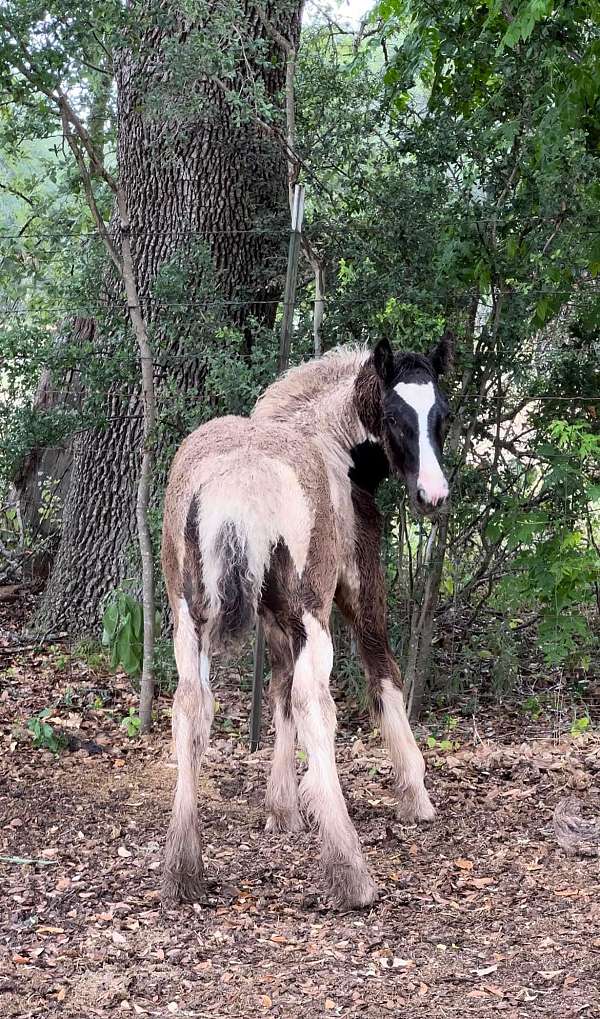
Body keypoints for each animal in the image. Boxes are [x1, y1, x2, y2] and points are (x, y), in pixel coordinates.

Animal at [160, 334, 452, 908]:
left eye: (442, 415)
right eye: (395, 414)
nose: (433, 494)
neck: (327, 438)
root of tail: (241, 479)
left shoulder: (273, 617)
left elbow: (277, 690)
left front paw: (282, 809)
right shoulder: (357, 585)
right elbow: (382, 672)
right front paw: (414, 793)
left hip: (189, 615)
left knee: (191, 706)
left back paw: (183, 867)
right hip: (313, 609)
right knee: (317, 704)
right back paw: (350, 871)